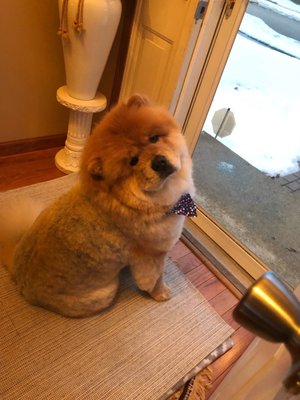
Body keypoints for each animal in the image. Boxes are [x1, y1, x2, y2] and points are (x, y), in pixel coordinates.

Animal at [0, 94, 196, 316]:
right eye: (133, 161)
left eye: (154, 138)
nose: (159, 161)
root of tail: (19, 278)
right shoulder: (152, 255)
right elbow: (155, 279)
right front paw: (161, 293)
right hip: (106, 294)